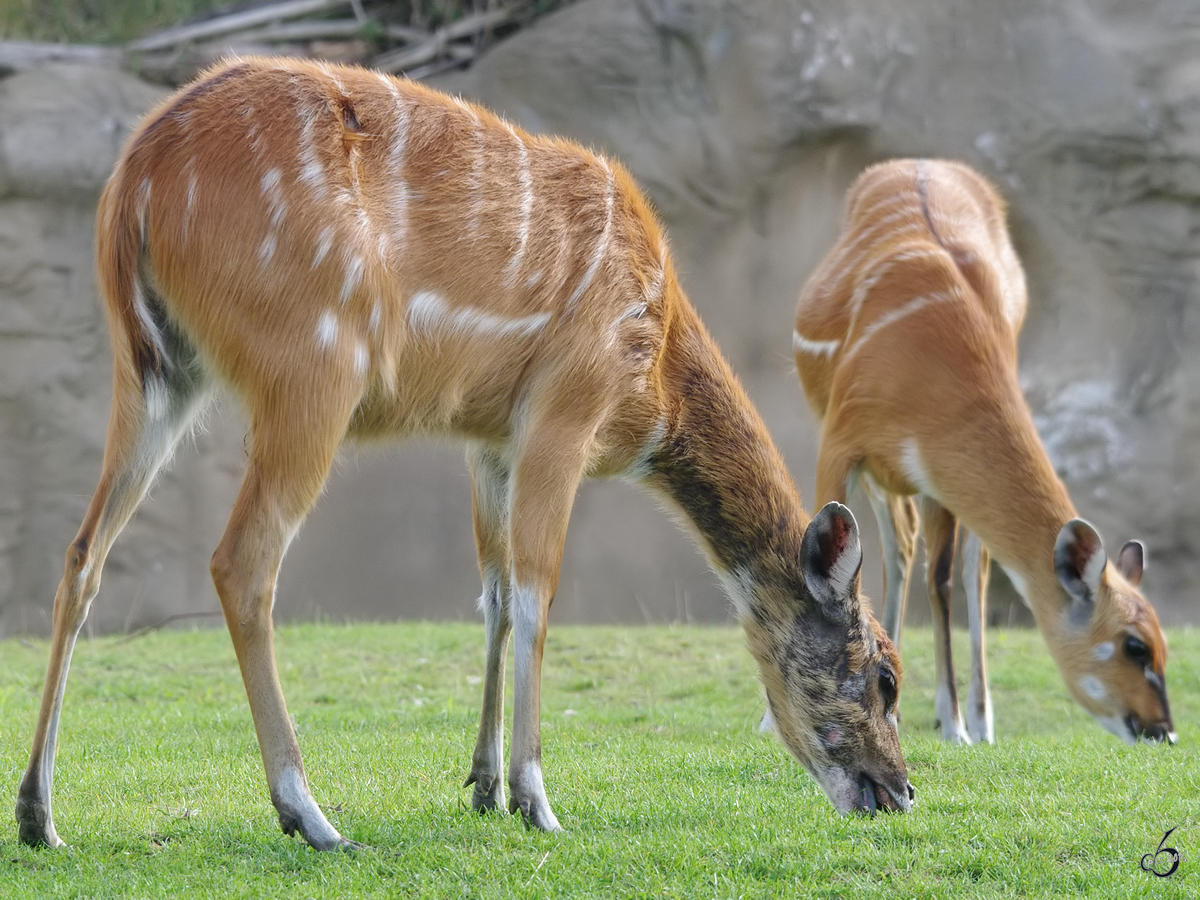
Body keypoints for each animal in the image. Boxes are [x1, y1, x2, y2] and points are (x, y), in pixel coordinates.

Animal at [16, 58, 907, 854]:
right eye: (885, 675)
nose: (898, 790)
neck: (654, 377)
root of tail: (135, 181)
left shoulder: (488, 439)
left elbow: (494, 595)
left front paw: (482, 786)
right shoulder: (562, 411)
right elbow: (538, 593)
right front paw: (537, 801)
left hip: (157, 372)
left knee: (83, 553)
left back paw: (39, 814)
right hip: (313, 370)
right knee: (242, 561)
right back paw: (310, 815)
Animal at [787, 160, 1171, 748]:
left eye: (1164, 644)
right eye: (1135, 645)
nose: (1164, 730)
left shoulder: (937, 476)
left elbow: (945, 577)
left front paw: (959, 724)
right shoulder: (840, 442)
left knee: (949, 562)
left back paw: (970, 714)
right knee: (900, 550)